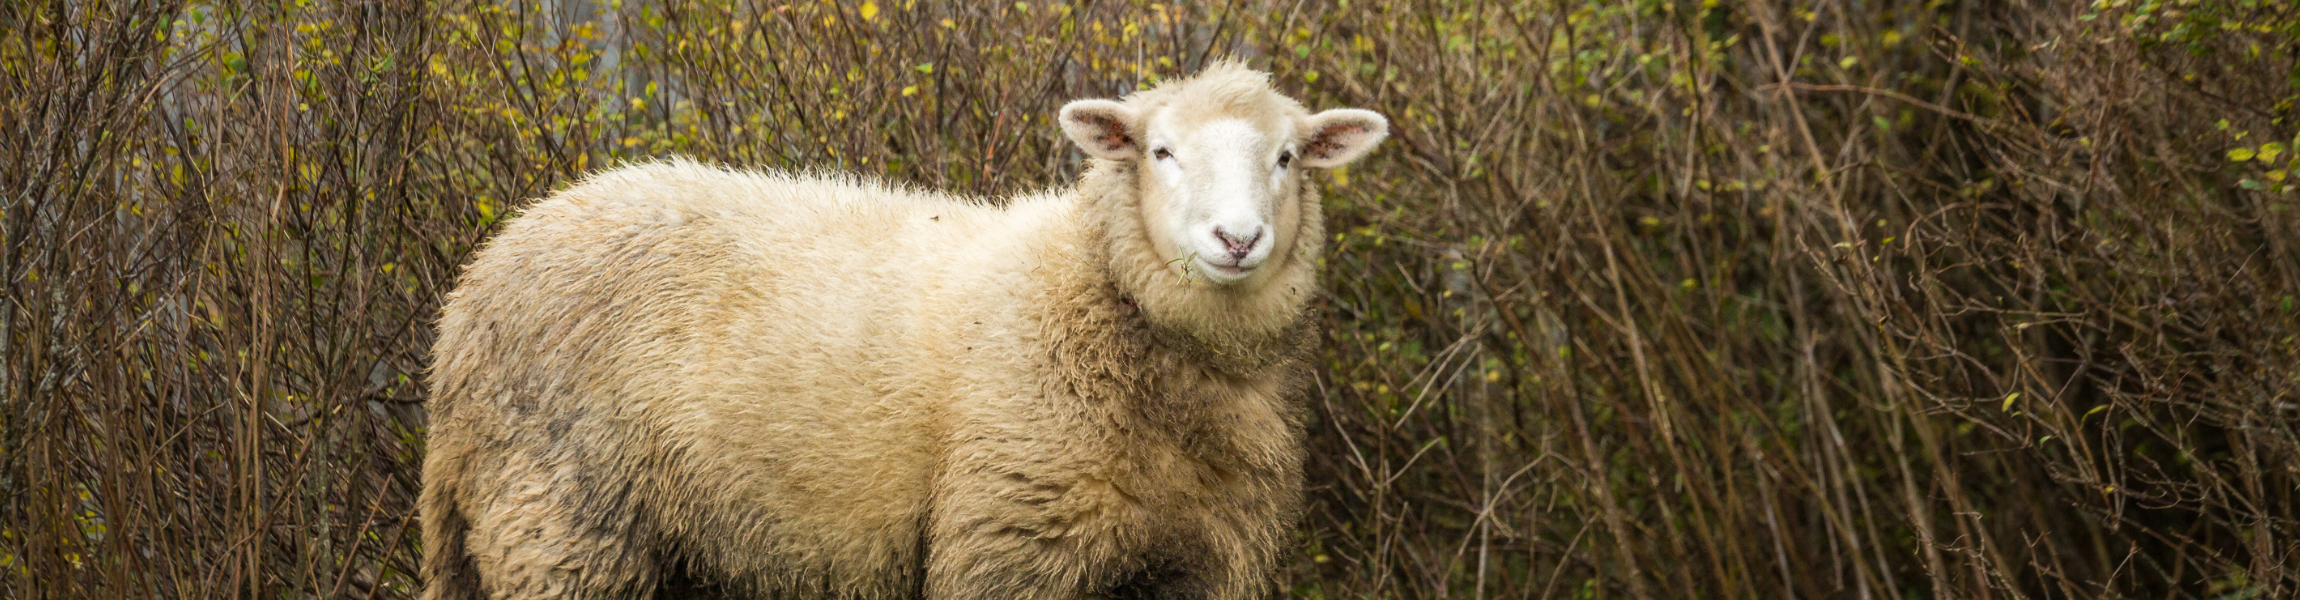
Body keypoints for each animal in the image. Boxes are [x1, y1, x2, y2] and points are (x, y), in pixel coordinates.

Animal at [419, 62, 1389, 600]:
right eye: (1161, 152)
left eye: (1287, 157)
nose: (1238, 239)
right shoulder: (1009, 548)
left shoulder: (1207, 564)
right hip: (559, 519)